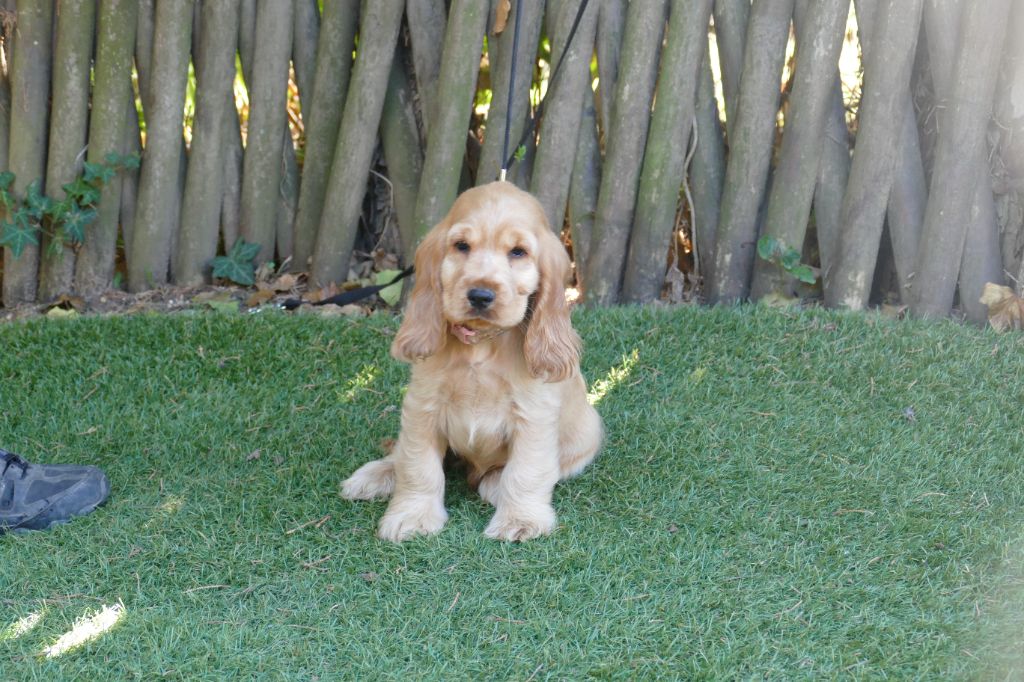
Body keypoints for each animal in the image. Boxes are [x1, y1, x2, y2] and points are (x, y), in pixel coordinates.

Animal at [341, 181, 603, 542]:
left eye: (518, 252)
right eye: (462, 246)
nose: (480, 295)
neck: (482, 345)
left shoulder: (533, 415)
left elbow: (527, 470)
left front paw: (520, 520)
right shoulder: (423, 407)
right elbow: (418, 465)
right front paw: (413, 516)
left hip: (588, 432)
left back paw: (493, 483)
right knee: (402, 454)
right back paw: (374, 476)